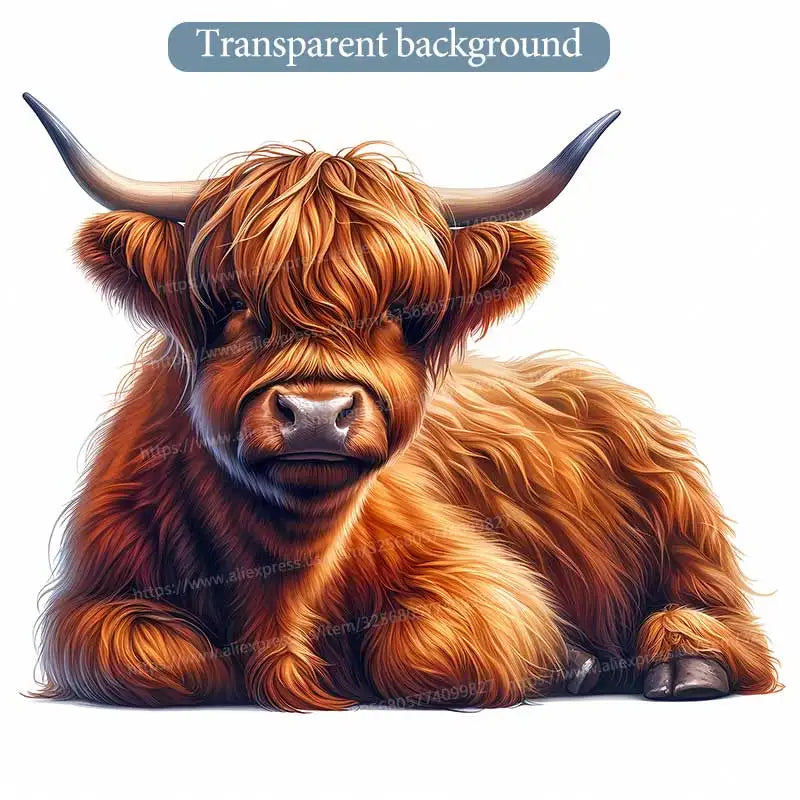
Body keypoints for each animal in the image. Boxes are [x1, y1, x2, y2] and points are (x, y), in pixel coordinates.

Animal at [25, 93, 778, 709]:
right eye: (234, 303)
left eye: (404, 309)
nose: (317, 415)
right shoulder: (89, 602)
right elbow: (151, 655)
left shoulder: (480, 578)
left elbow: (428, 649)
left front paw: (567, 659)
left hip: (683, 524)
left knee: (716, 606)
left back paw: (687, 663)